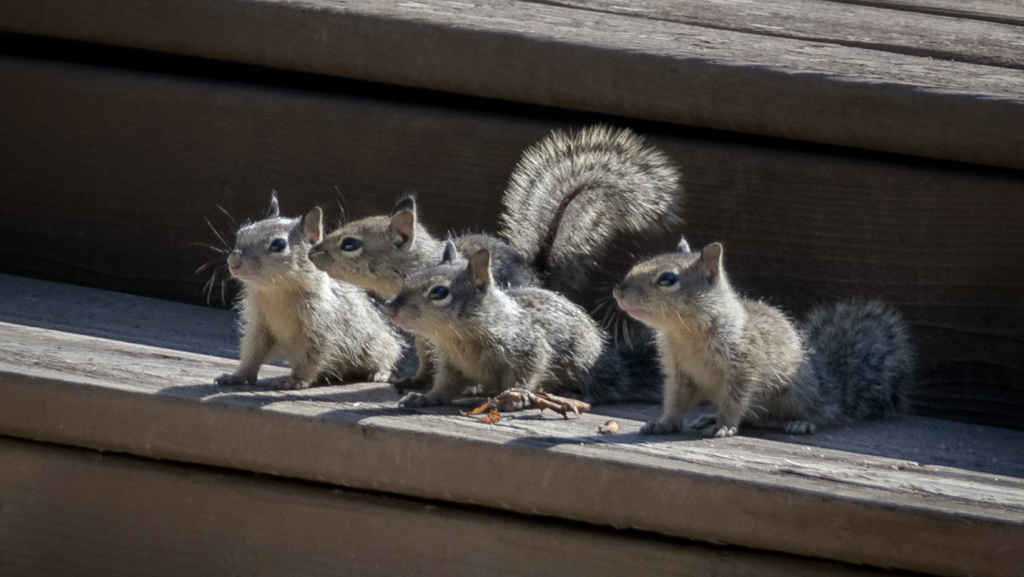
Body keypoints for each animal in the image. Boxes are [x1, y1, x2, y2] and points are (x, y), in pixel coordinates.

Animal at [212, 196, 403, 391]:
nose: (233, 262)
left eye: (278, 244)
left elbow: (312, 357)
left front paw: (295, 380)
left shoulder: (320, 325)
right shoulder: (260, 325)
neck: (277, 292)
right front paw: (237, 375)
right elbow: (253, 353)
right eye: (241, 233)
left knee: (388, 357)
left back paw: (380, 373)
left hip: (378, 346)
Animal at [610, 236, 917, 436]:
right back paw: (709, 418)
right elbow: (676, 401)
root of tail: (830, 388)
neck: (685, 332)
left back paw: (800, 423)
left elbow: (735, 401)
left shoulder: (743, 367)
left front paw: (724, 426)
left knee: (816, 412)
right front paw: (664, 423)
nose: (618, 291)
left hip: (796, 392)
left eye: (668, 279)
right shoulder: (679, 373)